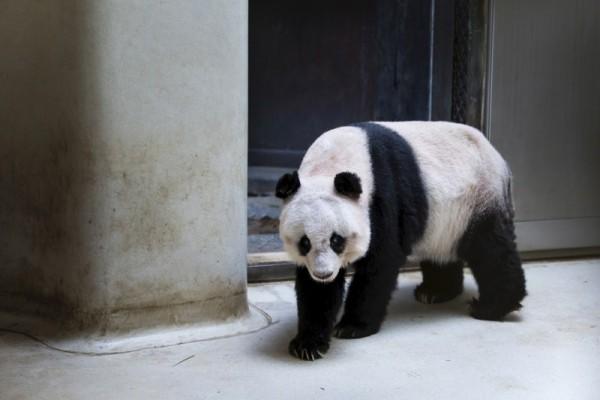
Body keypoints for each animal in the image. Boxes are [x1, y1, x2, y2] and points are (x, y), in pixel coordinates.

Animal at [276, 120, 524, 360]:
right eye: (304, 242)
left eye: (337, 240)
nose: (324, 274)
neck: (331, 163)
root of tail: (500, 160)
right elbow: (315, 291)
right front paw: (307, 344)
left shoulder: (383, 197)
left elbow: (380, 263)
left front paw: (353, 327)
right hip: (444, 220)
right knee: (443, 252)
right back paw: (435, 292)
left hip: (477, 197)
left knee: (490, 249)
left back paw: (490, 307)